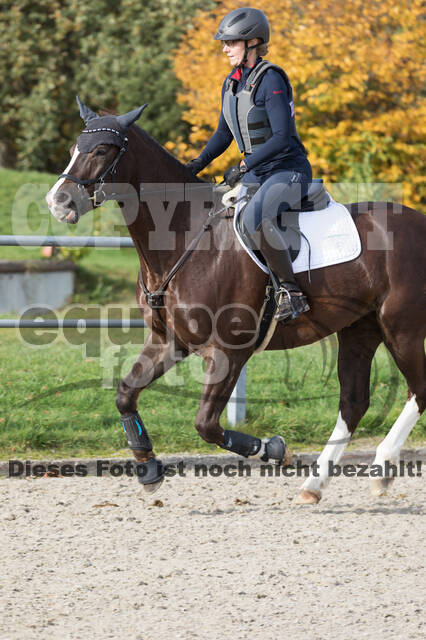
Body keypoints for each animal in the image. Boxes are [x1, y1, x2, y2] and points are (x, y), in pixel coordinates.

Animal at [45, 100, 424, 502]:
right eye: (74, 149)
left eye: (102, 150)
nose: (57, 201)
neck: (183, 235)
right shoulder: (169, 342)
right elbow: (125, 394)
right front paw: (148, 468)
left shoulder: (229, 351)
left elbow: (206, 425)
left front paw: (275, 449)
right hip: (359, 330)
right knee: (353, 404)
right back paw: (314, 486)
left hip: (402, 329)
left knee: (419, 391)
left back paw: (382, 468)